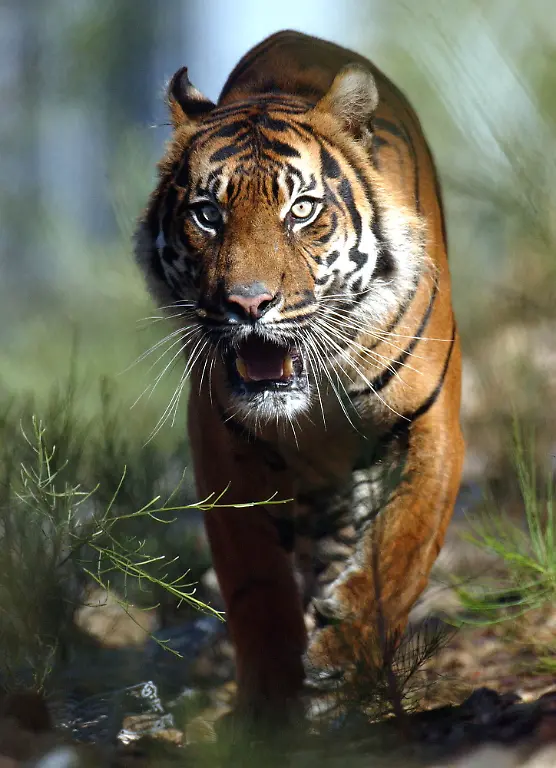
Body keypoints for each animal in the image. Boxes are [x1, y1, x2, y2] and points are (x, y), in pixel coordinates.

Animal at [135, 29, 464, 723]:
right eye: (207, 215)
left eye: (303, 210)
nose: (249, 304)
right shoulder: (222, 445)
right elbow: (254, 583)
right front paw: (271, 707)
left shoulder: (433, 425)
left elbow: (404, 551)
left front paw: (344, 656)